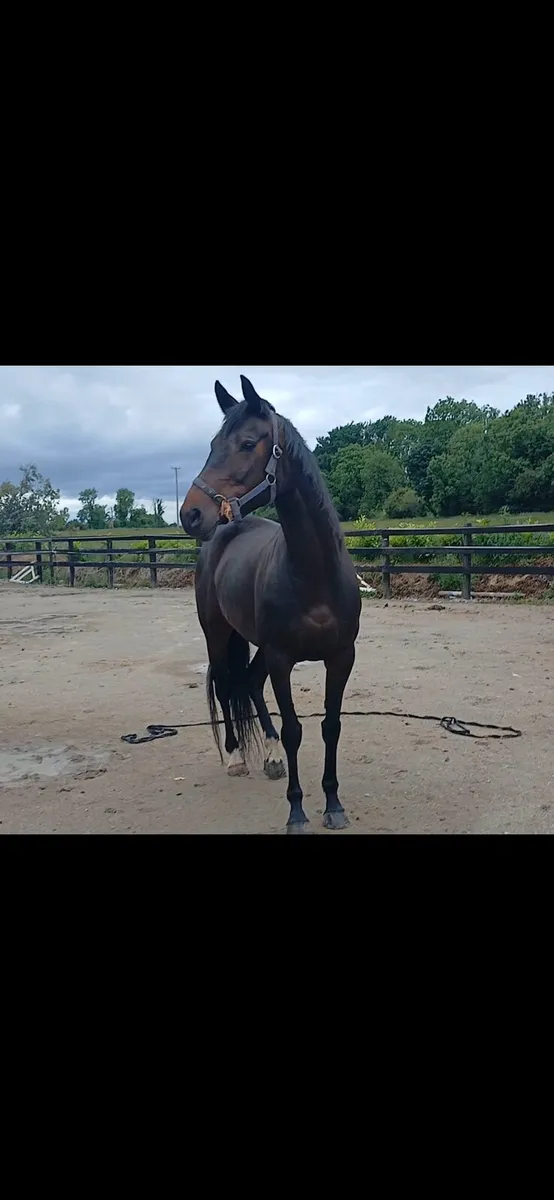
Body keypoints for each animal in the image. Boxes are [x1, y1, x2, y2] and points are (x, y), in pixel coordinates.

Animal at [180, 375, 361, 833]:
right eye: (213, 443)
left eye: (247, 443)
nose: (190, 514)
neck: (313, 575)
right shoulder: (282, 658)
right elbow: (296, 729)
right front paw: (297, 812)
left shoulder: (341, 657)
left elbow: (331, 726)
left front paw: (333, 803)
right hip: (217, 632)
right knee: (226, 685)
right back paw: (234, 756)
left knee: (249, 683)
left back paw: (272, 754)